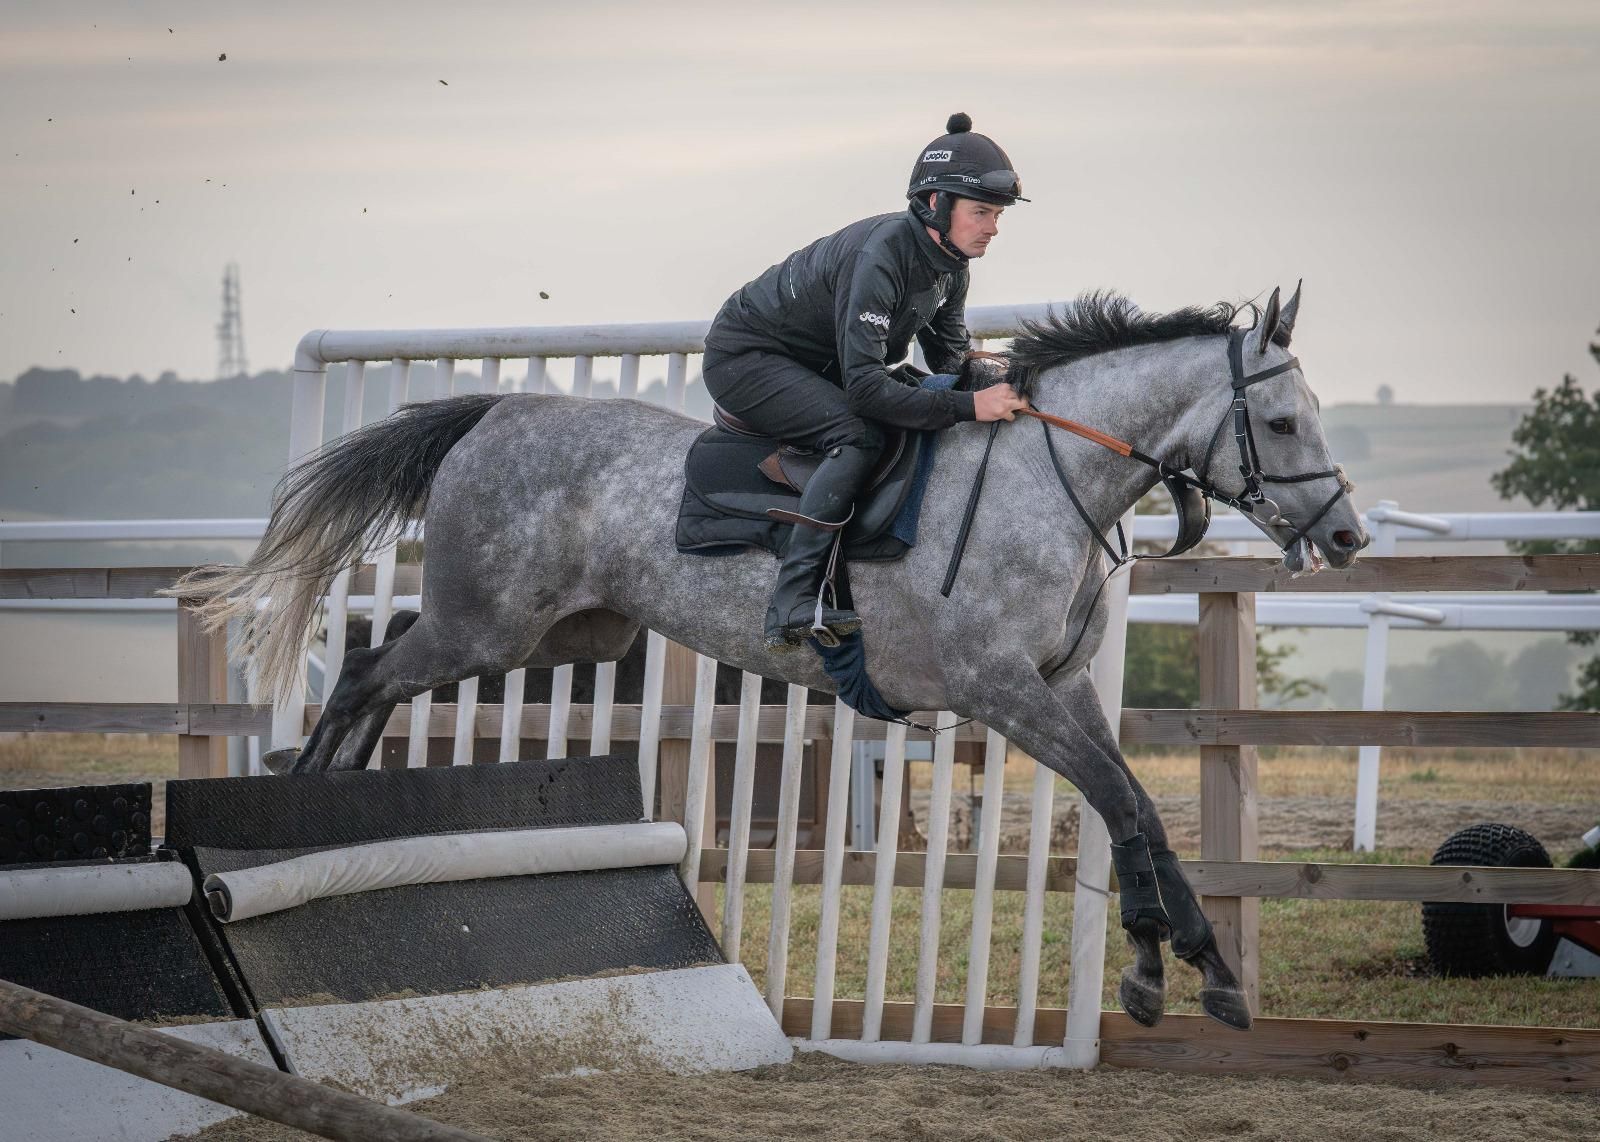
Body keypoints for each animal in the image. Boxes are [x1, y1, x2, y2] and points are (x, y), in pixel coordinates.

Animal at [173, 284, 1367, 1031]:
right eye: (1280, 421)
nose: (1348, 536)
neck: (1049, 475)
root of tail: (495, 411)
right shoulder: (1003, 693)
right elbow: (1120, 804)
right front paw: (1168, 970)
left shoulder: (1058, 691)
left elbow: (1139, 811)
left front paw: (1194, 972)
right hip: (488, 624)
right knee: (362, 674)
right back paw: (302, 807)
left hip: (554, 630)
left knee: (377, 665)